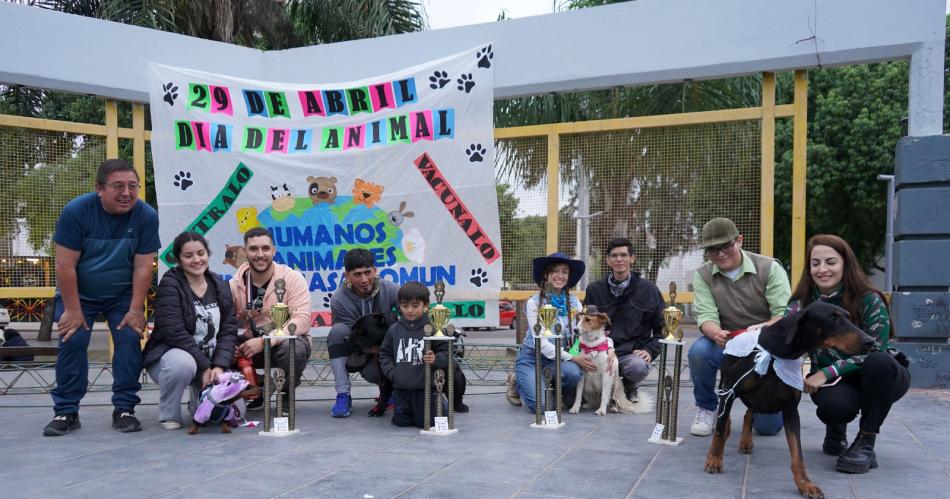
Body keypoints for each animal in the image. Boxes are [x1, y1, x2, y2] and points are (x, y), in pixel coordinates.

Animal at [704, 300, 872, 499]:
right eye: (832, 318)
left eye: (849, 317)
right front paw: (714, 459)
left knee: (749, 414)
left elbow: (797, 452)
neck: (777, 353)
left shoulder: (790, 408)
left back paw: (746, 441)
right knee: (726, 416)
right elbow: (719, 430)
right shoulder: (730, 390)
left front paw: (805, 484)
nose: (870, 341)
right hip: (726, 382)